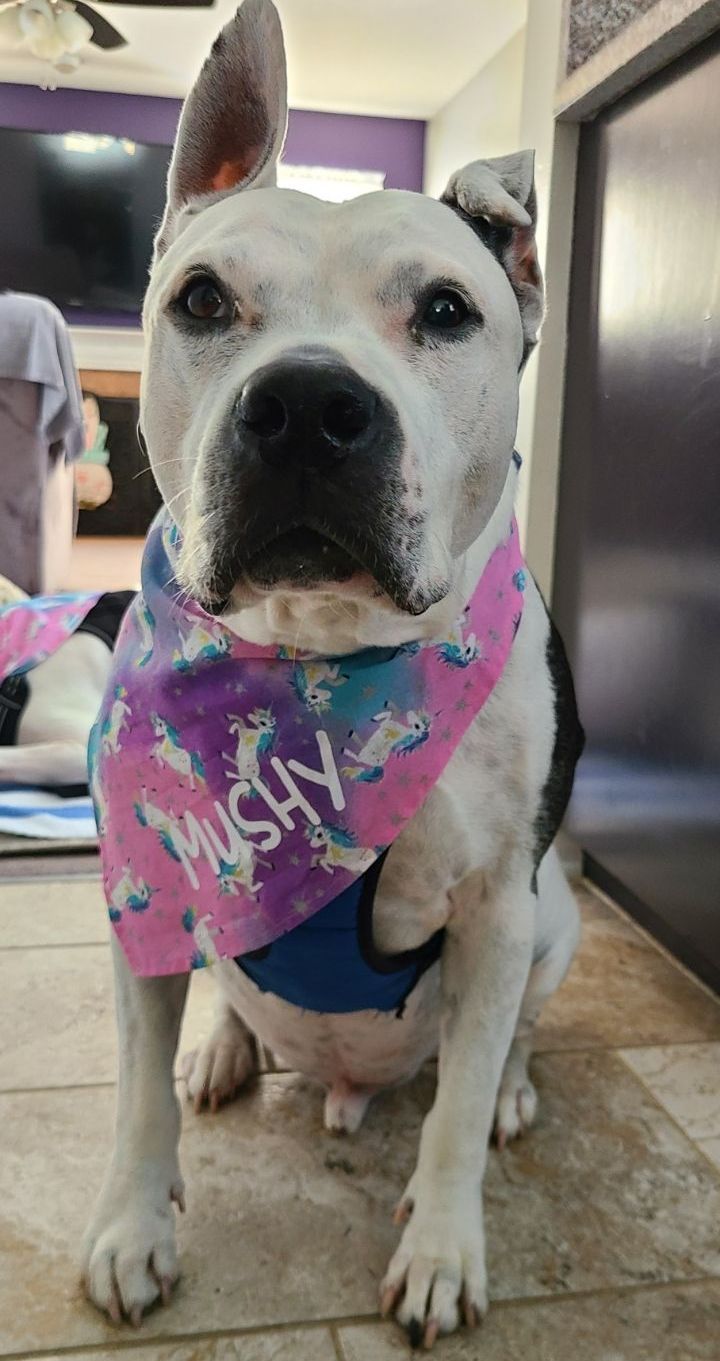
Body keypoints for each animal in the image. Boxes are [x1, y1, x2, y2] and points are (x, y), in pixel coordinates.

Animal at [79, 0, 582, 1339]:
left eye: (450, 312)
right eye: (201, 299)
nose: (307, 404)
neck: (319, 657)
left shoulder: (497, 907)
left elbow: (454, 1112)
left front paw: (446, 1249)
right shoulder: (146, 877)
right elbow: (135, 1091)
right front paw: (133, 1227)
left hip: (555, 917)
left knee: (498, 1048)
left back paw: (510, 1091)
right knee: (221, 988)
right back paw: (223, 1047)